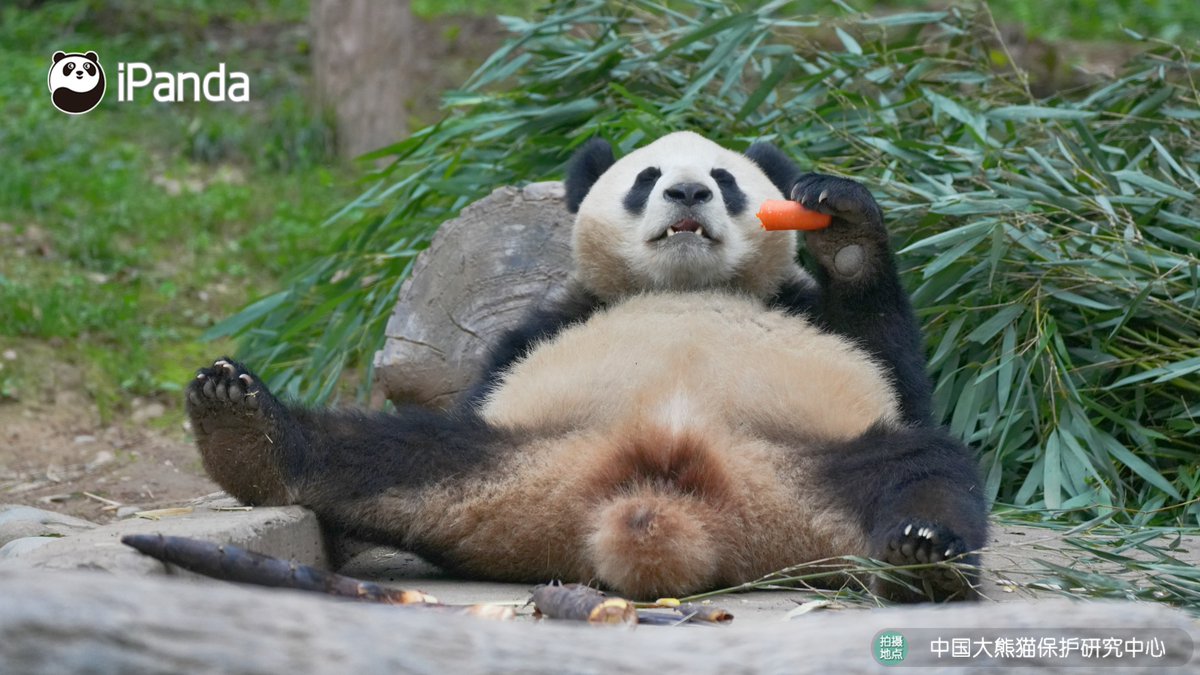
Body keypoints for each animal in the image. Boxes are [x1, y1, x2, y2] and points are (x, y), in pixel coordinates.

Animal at [186, 131, 988, 602]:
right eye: (648, 176)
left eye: (725, 178)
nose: (688, 193)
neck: (682, 285)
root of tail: (664, 513)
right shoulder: (546, 325)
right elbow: (482, 385)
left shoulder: (811, 316)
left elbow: (897, 379)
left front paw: (843, 225)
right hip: (503, 457)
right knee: (394, 448)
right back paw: (244, 427)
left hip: (815, 468)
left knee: (928, 465)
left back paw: (924, 552)